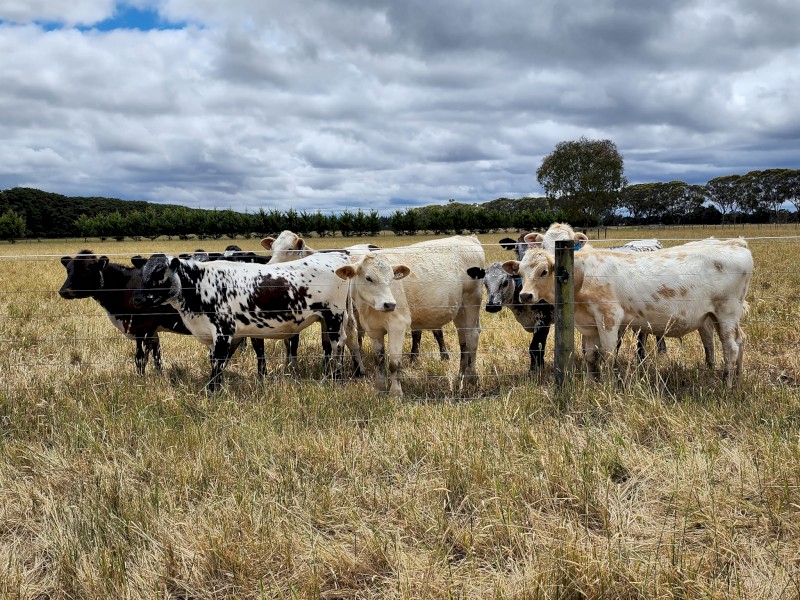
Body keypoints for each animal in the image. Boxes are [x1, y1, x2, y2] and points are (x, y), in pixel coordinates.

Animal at [131, 251, 360, 391]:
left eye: (160, 273)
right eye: (142, 272)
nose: (138, 299)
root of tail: (335, 255)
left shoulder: (223, 330)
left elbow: (218, 362)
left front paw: (212, 391)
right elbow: (217, 361)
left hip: (334, 315)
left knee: (337, 344)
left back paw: (336, 378)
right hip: (328, 319)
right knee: (335, 344)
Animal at [335, 236, 484, 397]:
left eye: (392, 278)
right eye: (368, 278)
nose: (389, 304)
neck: (371, 309)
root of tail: (467, 238)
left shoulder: (397, 325)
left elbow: (394, 364)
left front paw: (395, 394)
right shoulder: (373, 329)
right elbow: (379, 360)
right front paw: (380, 389)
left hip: (472, 301)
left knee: (472, 336)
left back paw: (472, 378)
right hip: (460, 310)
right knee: (464, 340)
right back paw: (461, 376)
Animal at [502, 239, 752, 386]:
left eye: (544, 271)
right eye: (520, 272)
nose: (526, 296)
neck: (581, 275)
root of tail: (736, 245)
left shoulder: (609, 318)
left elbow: (608, 354)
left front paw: (610, 385)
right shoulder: (590, 326)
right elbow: (591, 357)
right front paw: (593, 384)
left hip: (727, 313)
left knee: (730, 347)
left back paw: (727, 383)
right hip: (719, 317)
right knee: (740, 340)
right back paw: (738, 377)